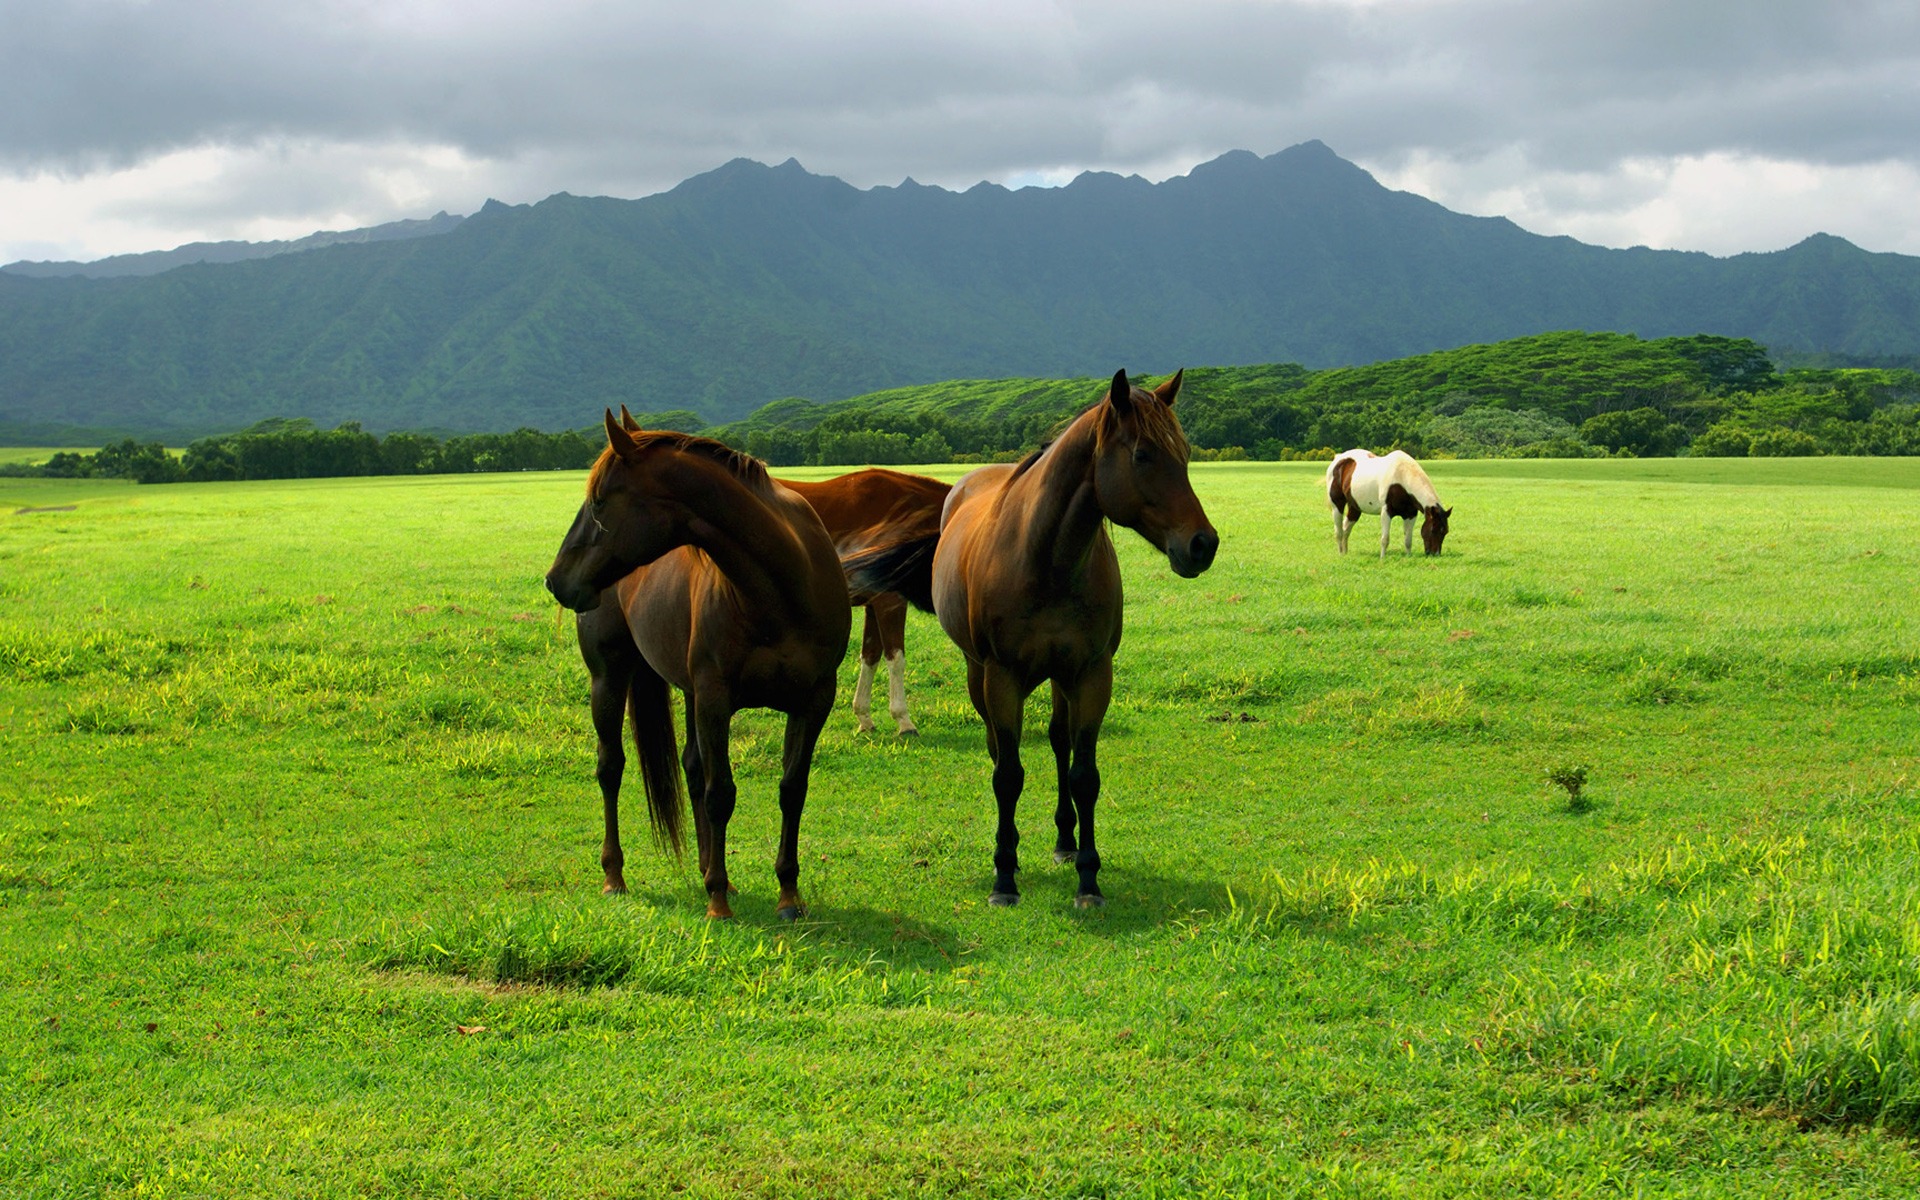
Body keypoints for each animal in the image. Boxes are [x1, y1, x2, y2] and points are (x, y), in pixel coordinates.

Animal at [537, 410, 844, 917]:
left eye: (599, 502)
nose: (556, 580)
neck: (781, 588)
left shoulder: (813, 700)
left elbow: (791, 790)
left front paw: (788, 893)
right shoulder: (716, 699)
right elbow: (722, 793)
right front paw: (717, 900)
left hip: (689, 692)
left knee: (692, 768)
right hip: (610, 679)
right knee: (611, 768)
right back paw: (616, 875)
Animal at [852, 366, 1213, 906]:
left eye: (1185, 453)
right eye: (1143, 455)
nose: (1203, 544)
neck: (1046, 560)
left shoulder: (1091, 674)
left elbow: (1084, 775)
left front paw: (1088, 876)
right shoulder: (1001, 677)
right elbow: (1008, 774)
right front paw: (1004, 875)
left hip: (1061, 678)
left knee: (1060, 743)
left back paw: (1064, 841)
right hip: (979, 675)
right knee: (999, 750)